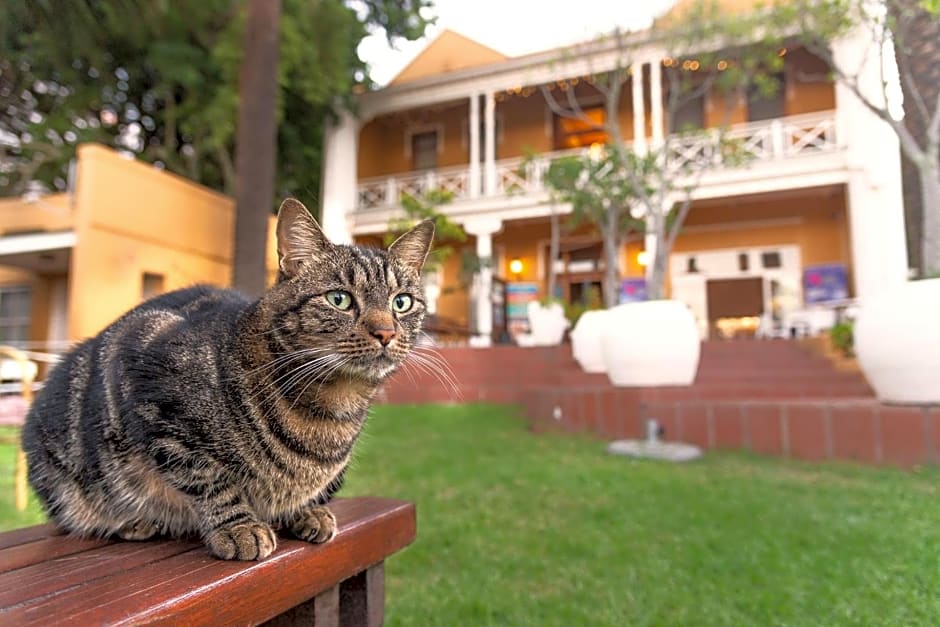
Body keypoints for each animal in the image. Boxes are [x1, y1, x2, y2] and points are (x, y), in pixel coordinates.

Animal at [22, 200, 434, 560]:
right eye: (340, 299)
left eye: (401, 303)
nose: (386, 333)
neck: (331, 409)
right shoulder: (153, 390)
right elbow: (211, 480)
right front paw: (239, 527)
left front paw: (307, 510)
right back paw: (133, 522)